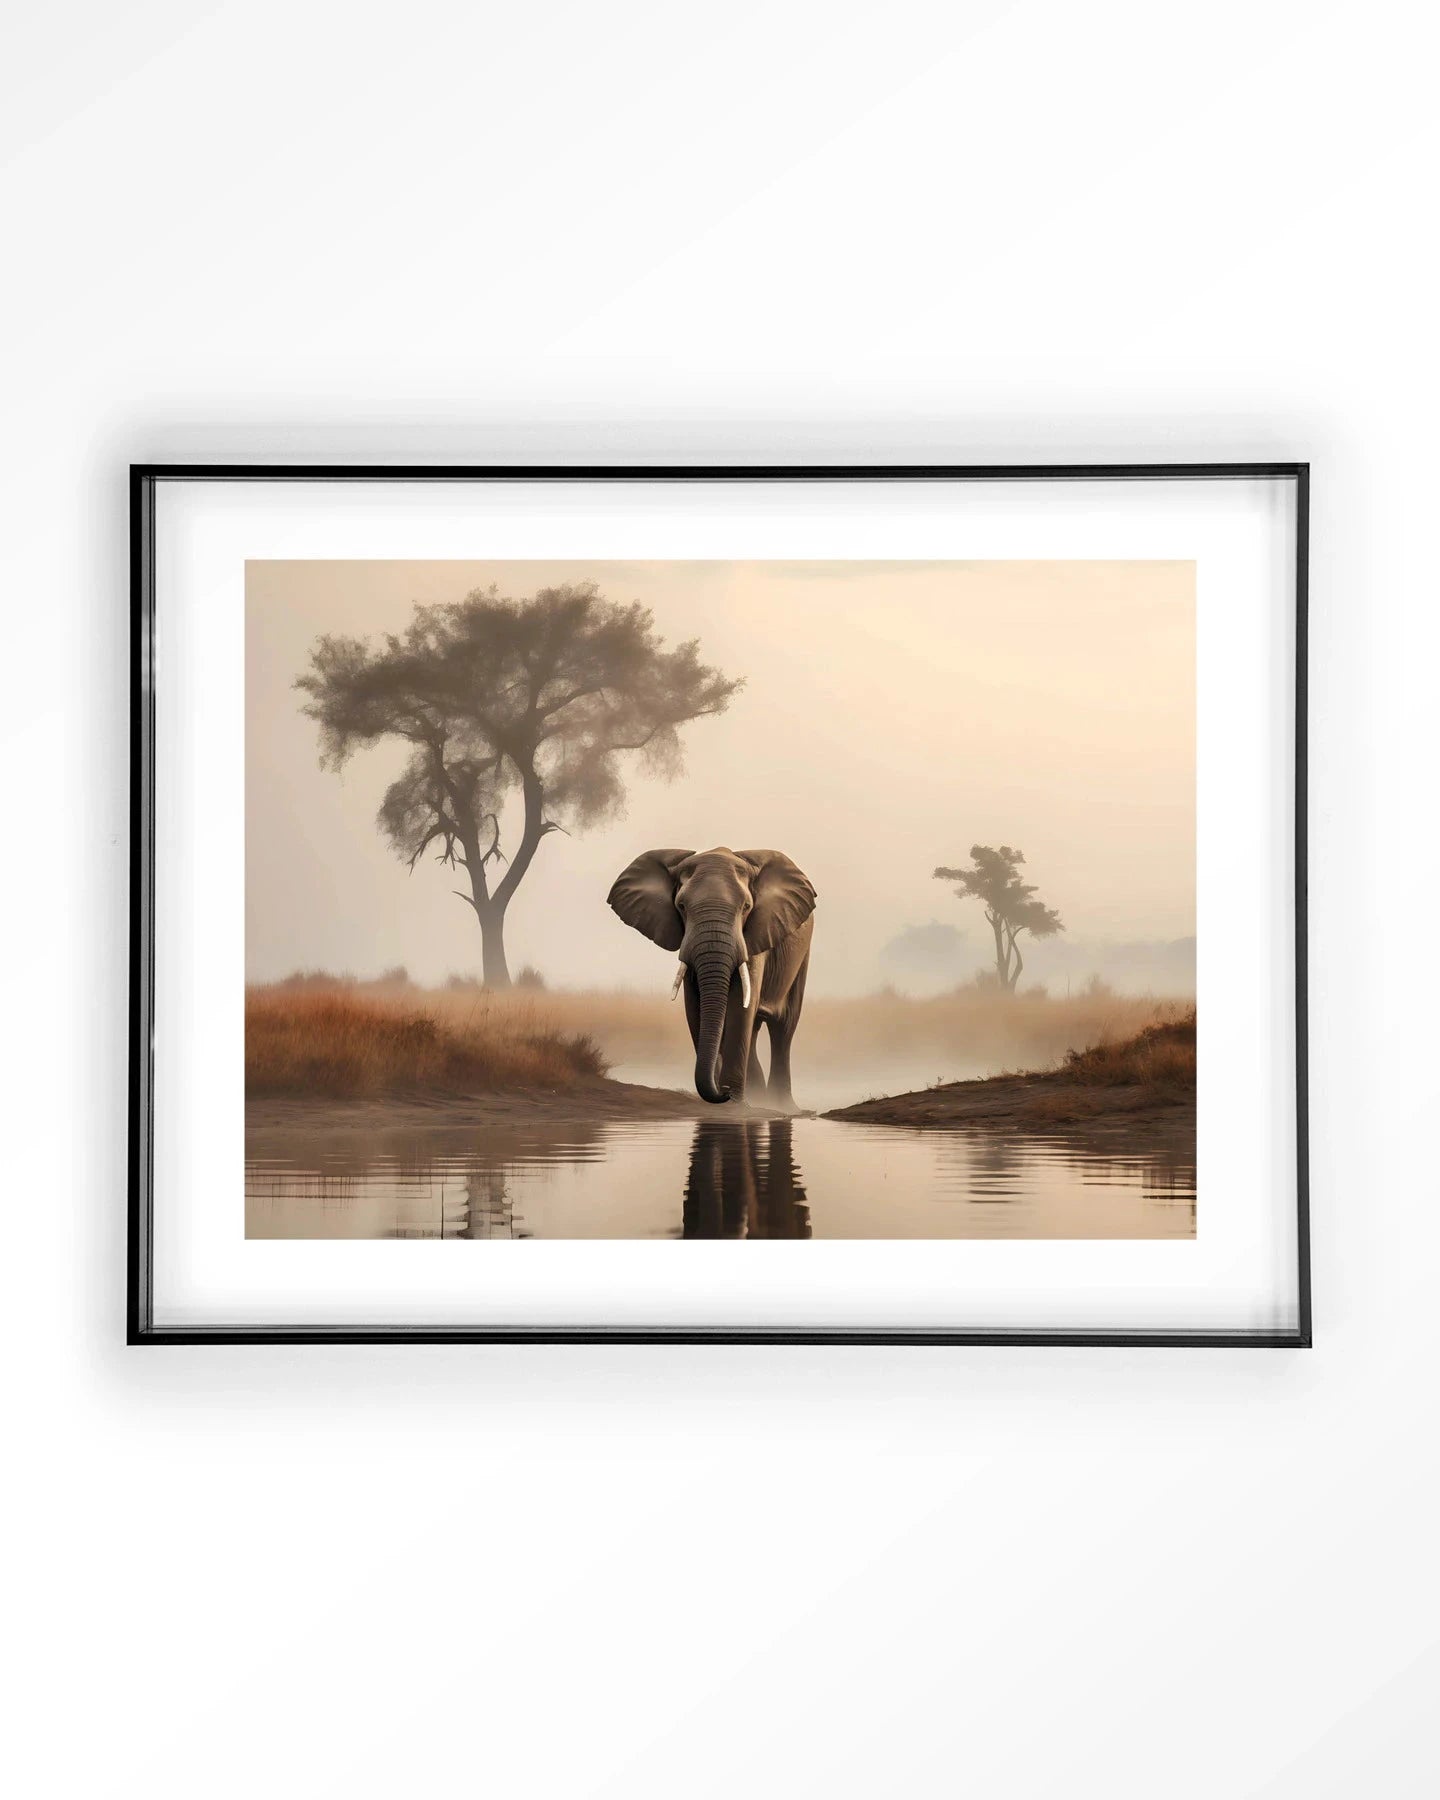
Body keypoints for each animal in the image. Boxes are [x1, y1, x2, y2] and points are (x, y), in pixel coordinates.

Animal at [607, 846, 816, 1108]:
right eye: (681, 906)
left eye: (746, 907)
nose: (722, 1091)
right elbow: (694, 1006)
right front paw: (728, 1097)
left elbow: (740, 1007)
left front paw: (734, 1103)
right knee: (755, 1030)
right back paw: (757, 1097)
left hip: (802, 953)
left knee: (783, 1027)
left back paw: (781, 1105)